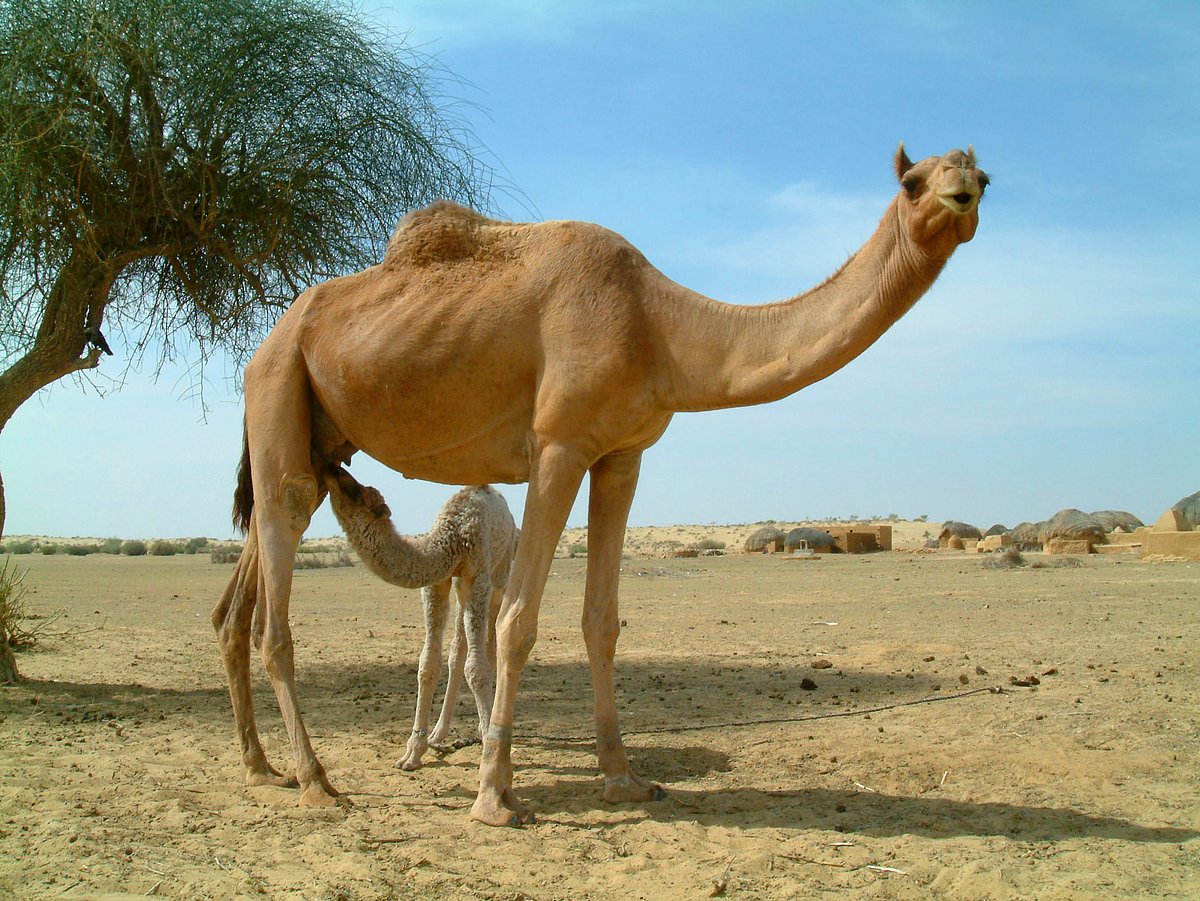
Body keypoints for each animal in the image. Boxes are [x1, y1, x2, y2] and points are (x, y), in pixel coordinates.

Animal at [323, 465, 517, 770]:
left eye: (357, 491)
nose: (333, 470)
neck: (452, 537)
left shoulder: (479, 576)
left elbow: (477, 667)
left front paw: (489, 746)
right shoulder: (438, 583)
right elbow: (428, 664)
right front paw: (413, 751)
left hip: (500, 576)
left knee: (491, 643)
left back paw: (487, 725)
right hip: (461, 587)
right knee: (459, 649)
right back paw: (440, 732)